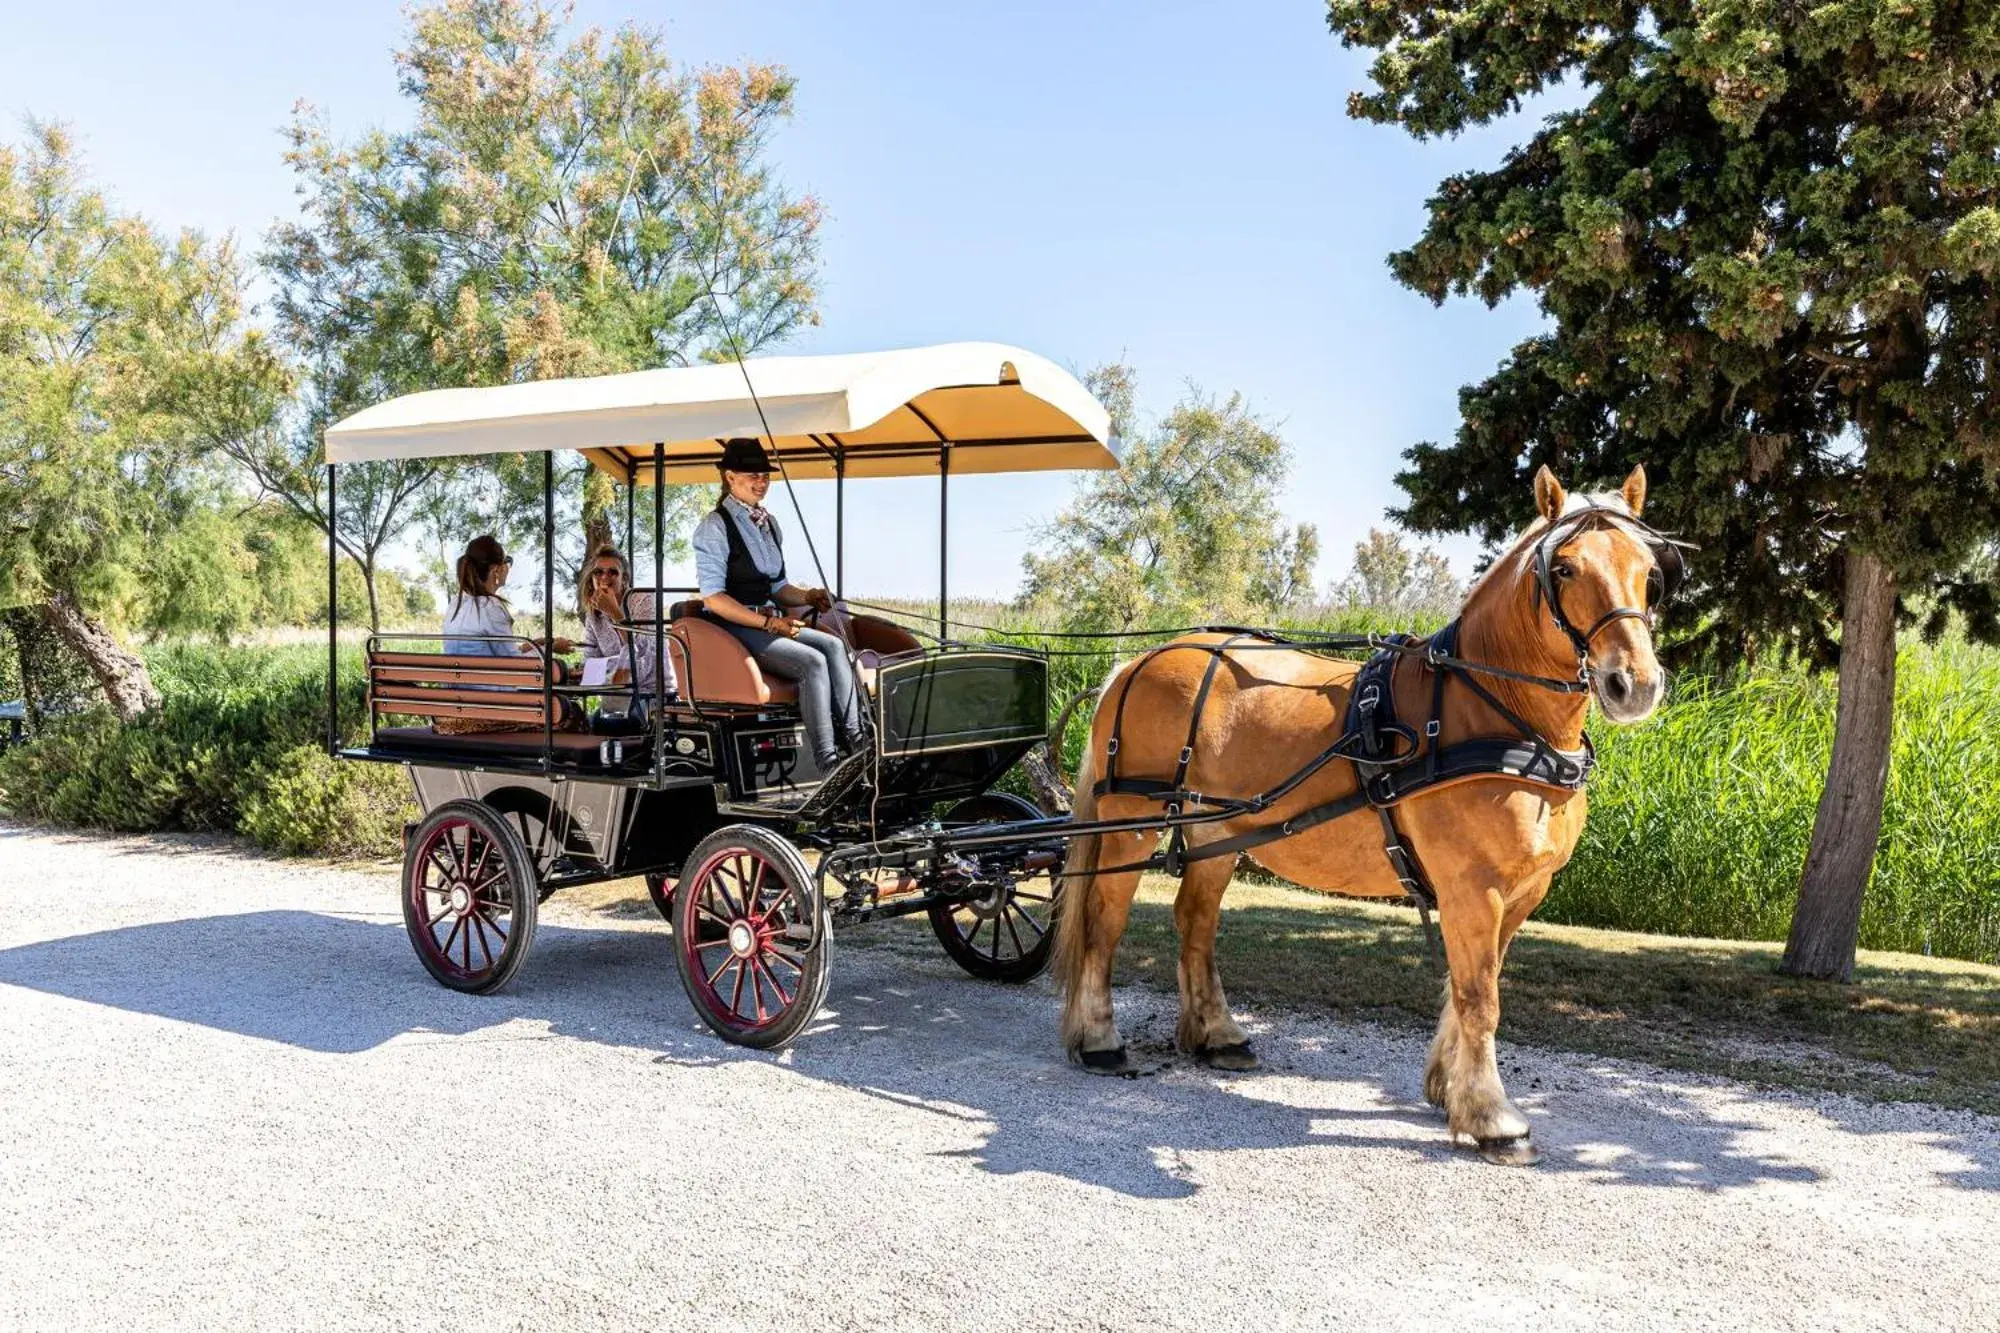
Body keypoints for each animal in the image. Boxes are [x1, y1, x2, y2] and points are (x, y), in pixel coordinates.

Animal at [1056, 462, 1680, 1160]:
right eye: (1565, 568)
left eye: (1648, 570)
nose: (1635, 684)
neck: (1494, 711)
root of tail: (1136, 662)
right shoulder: (1473, 887)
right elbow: (1480, 996)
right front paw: (1494, 1117)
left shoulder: (1521, 891)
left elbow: (1470, 986)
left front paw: (1450, 1089)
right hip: (1131, 820)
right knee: (1105, 920)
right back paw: (1100, 1039)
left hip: (1219, 823)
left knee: (1195, 921)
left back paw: (1217, 1034)